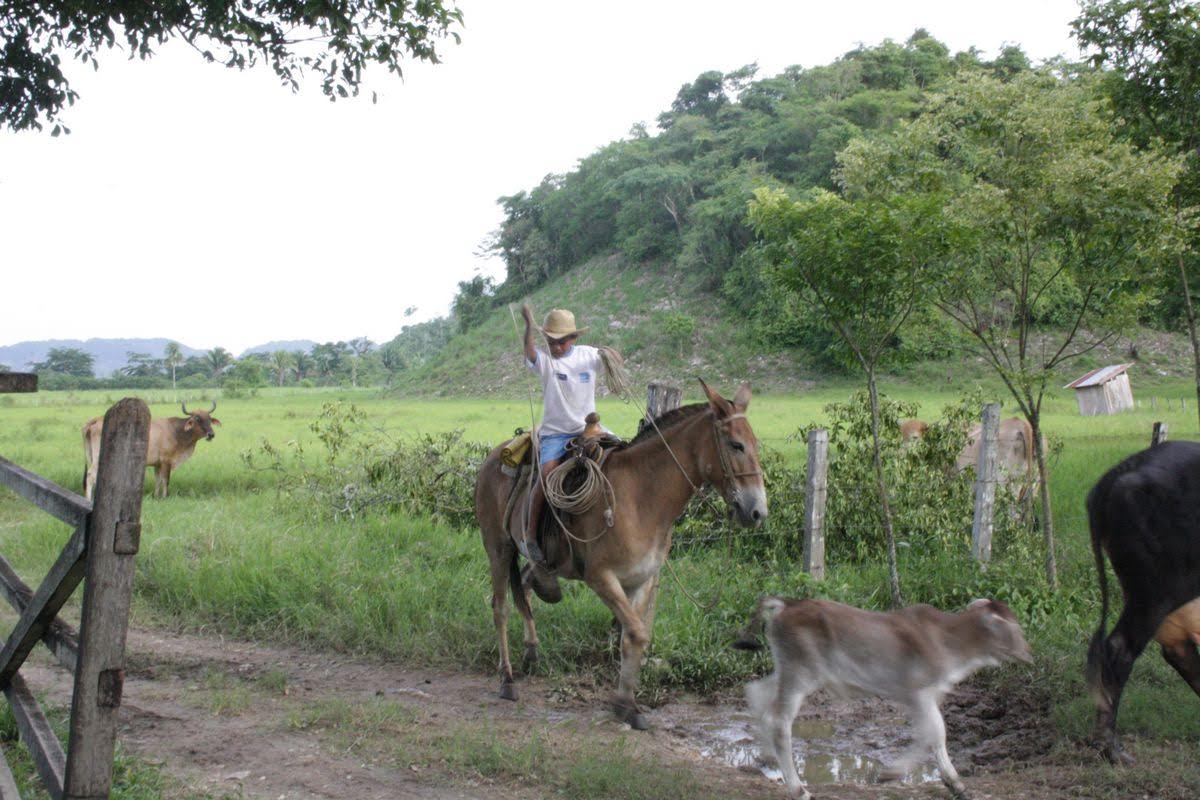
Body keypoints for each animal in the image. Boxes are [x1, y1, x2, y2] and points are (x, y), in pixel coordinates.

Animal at [84, 400, 220, 501]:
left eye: (209, 418)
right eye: (197, 419)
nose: (211, 434)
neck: (176, 431)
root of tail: (95, 421)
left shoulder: (157, 464)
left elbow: (158, 480)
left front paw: (156, 496)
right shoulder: (166, 461)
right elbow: (165, 480)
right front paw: (165, 497)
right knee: (90, 475)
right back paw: (88, 500)